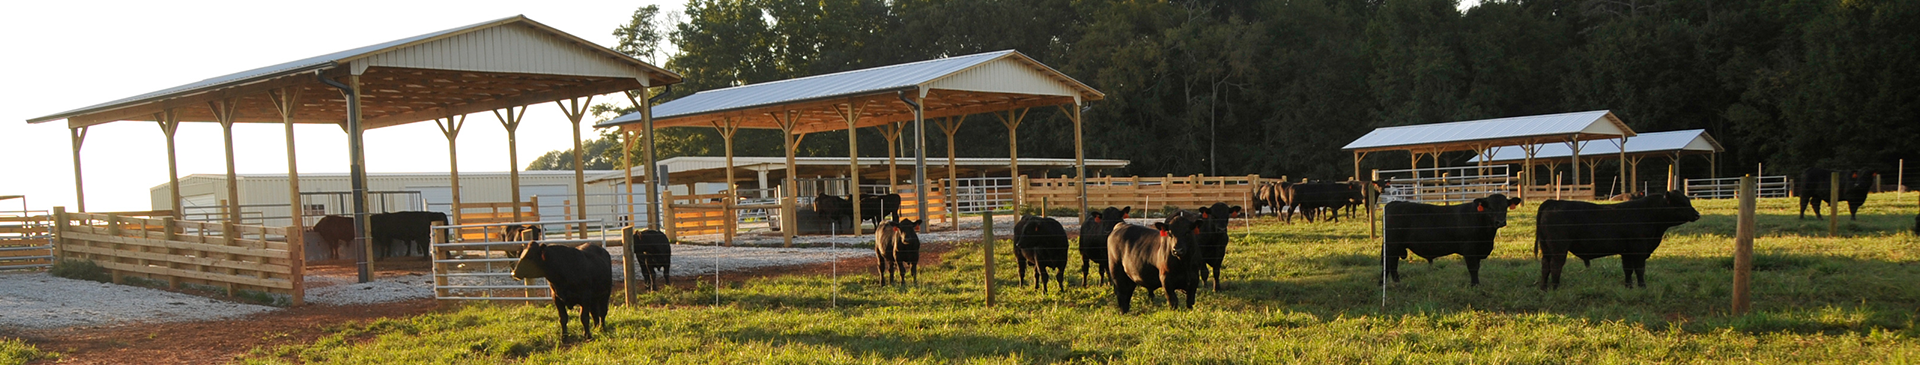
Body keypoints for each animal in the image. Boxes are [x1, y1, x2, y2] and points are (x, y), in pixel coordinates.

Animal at [1382, 194, 1512, 284]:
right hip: (1393, 246)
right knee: (1391, 264)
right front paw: (1475, 285)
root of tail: (1393, 204)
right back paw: (1397, 283)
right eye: (1490, 207)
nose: (1500, 222)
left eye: (1505, 207)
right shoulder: (1469, 248)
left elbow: (1477, 267)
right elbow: (1473, 268)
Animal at [1536, 189, 1704, 290]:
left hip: (1546, 249)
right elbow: (1640, 269)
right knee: (1556, 266)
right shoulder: (1639, 248)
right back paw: (1555, 287)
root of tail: (1553, 202)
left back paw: (1544, 288)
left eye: (1688, 201)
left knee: (1545, 266)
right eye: (1680, 203)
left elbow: (1628, 269)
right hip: (1559, 248)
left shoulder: (1627, 251)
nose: (1697, 214)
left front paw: (1628, 287)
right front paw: (1642, 287)